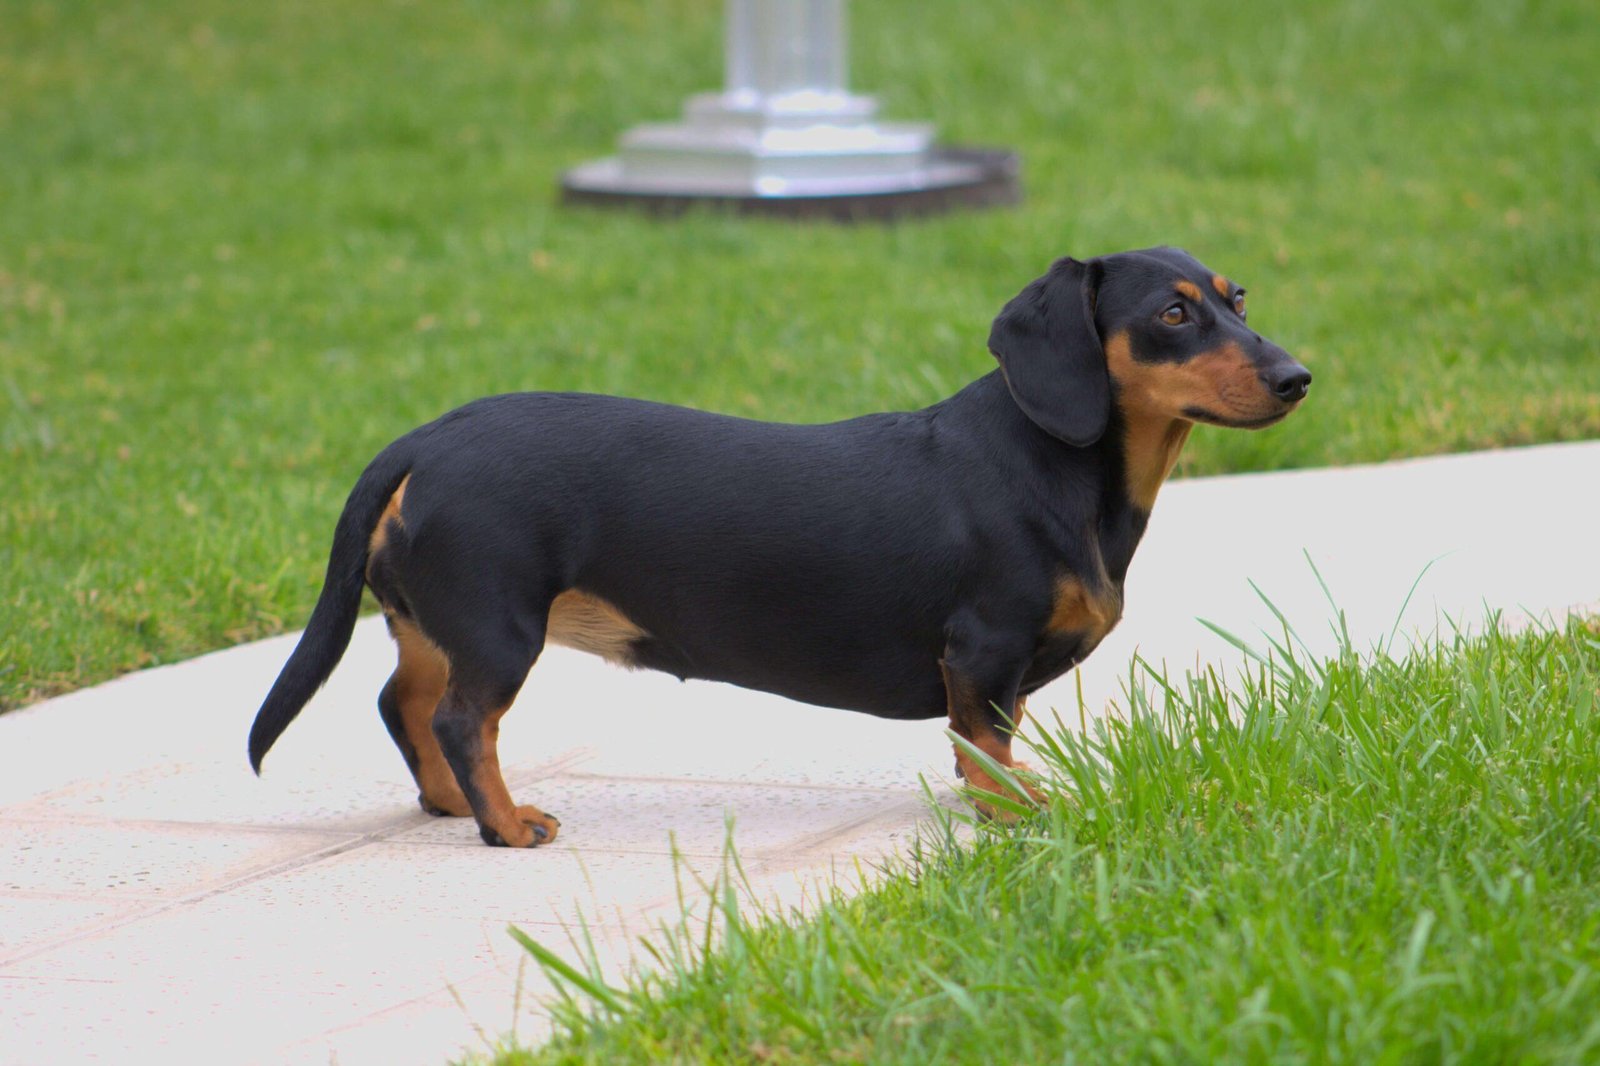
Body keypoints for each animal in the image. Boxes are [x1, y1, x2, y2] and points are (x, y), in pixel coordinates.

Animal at [246, 244, 1299, 845]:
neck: (1053, 464)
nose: (1298, 376)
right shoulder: (984, 649)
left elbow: (994, 747)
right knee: (464, 722)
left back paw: (457, 807)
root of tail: (421, 440)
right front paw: (1018, 816)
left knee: (407, 707)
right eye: (1172, 313)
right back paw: (506, 824)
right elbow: (986, 747)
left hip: (433, 623)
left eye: (1239, 299)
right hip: (500, 626)